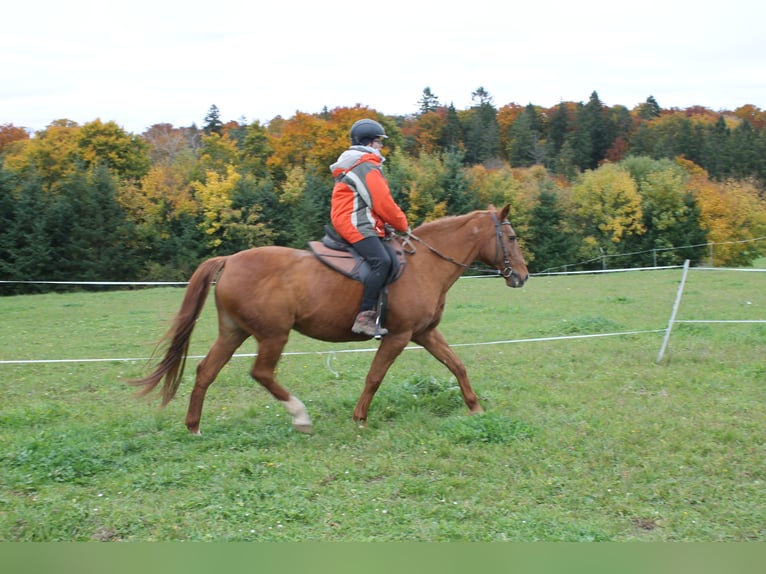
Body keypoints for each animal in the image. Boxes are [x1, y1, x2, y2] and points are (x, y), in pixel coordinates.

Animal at [129, 204, 529, 434]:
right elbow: (375, 376)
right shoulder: (398, 336)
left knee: (206, 372)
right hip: (273, 334)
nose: (523, 276)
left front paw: (475, 408)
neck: (425, 264)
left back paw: (194, 426)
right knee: (261, 373)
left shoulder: (426, 333)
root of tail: (230, 260)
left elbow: (457, 365)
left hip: (234, 332)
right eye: (510, 236)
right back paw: (300, 416)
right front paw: (360, 418)